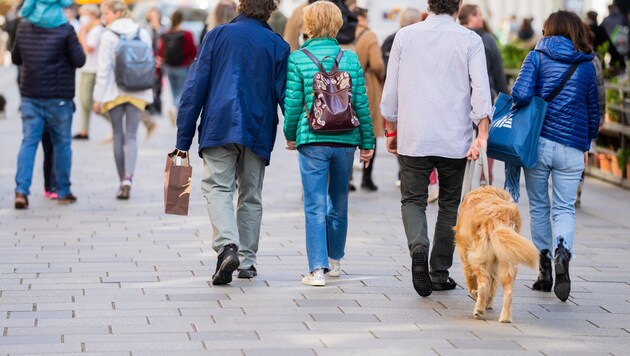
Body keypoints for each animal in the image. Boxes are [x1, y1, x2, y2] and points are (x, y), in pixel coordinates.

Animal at [454, 186, 540, 322]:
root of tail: (497, 216)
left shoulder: (465, 254)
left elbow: (471, 279)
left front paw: (475, 294)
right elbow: (492, 286)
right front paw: (488, 303)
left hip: (479, 259)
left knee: (483, 284)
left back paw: (478, 309)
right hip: (506, 260)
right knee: (508, 292)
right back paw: (505, 318)